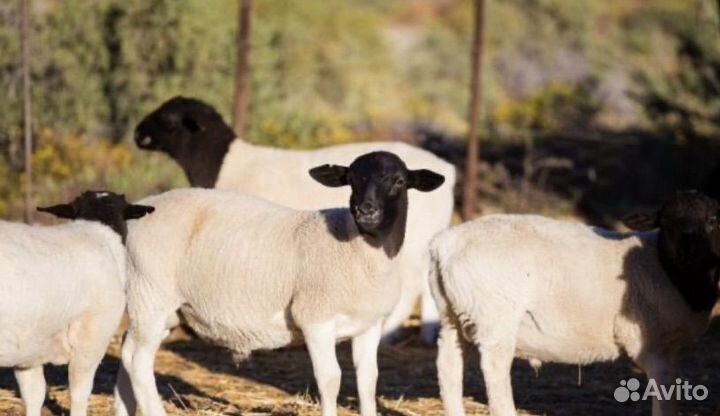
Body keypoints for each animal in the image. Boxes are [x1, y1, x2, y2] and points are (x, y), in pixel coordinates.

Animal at [113, 151, 444, 416]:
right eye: (352, 180)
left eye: (399, 181)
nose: (366, 210)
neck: (358, 249)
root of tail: (139, 210)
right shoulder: (315, 318)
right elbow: (330, 379)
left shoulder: (370, 324)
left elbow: (368, 380)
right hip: (151, 294)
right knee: (137, 360)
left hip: (161, 307)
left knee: (127, 359)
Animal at [133, 96, 457, 343]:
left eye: (168, 121)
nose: (137, 134)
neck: (225, 163)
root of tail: (448, 171)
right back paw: (429, 333)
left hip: (413, 239)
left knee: (412, 285)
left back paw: (391, 333)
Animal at [429, 190, 720, 416]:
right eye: (666, 222)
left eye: (712, 220)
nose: (689, 252)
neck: (667, 268)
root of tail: (445, 243)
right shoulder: (650, 345)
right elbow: (665, 399)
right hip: (495, 316)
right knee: (494, 368)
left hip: (452, 315)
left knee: (448, 366)